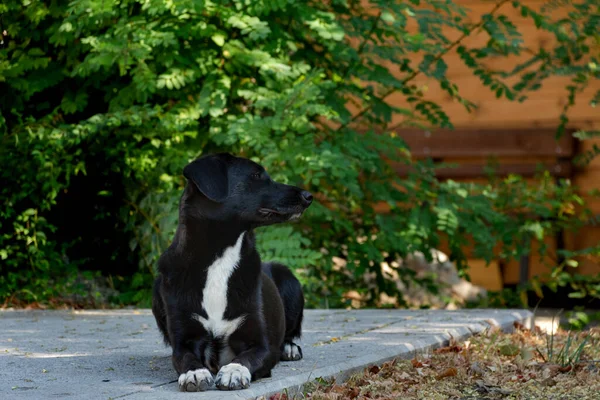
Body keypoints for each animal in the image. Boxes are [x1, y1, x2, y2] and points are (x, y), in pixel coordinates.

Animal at [150, 152, 312, 390]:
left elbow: (247, 357)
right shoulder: (184, 341)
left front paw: (233, 371)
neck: (220, 259)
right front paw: (194, 373)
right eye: (256, 175)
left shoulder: (262, 344)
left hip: (289, 279)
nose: (308, 196)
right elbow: (186, 357)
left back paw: (289, 348)